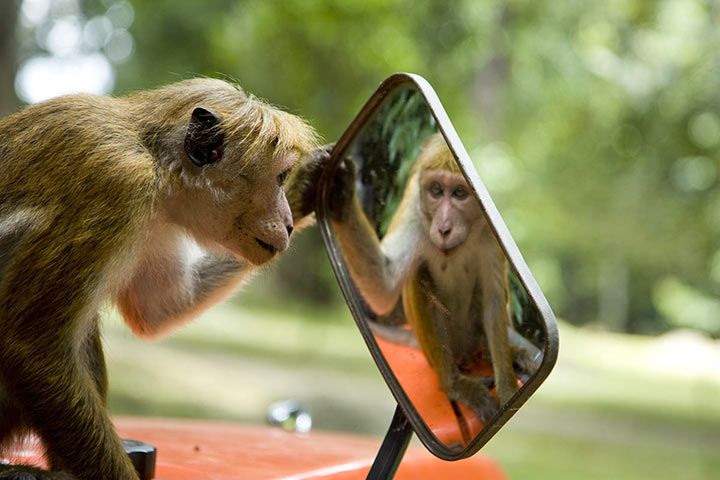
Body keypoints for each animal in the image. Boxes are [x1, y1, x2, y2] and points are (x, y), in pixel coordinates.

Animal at [0, 77, 324, 478]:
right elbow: (31, 346)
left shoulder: (158, 221)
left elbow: (159, 309)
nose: (289, 224)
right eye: (278, 176)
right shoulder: (119, 184)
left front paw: (308, 188)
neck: (154, 158)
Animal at [330, 133, 536, 422]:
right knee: (418, 276)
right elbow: (385, 284)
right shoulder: (415, 212)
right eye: (436, 190)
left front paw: (507, 391)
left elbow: (493, 301)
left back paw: (499, 354)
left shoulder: (491, 235)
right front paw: (341, 195)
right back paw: (454, 384)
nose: (444, 227)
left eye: (459, 193)